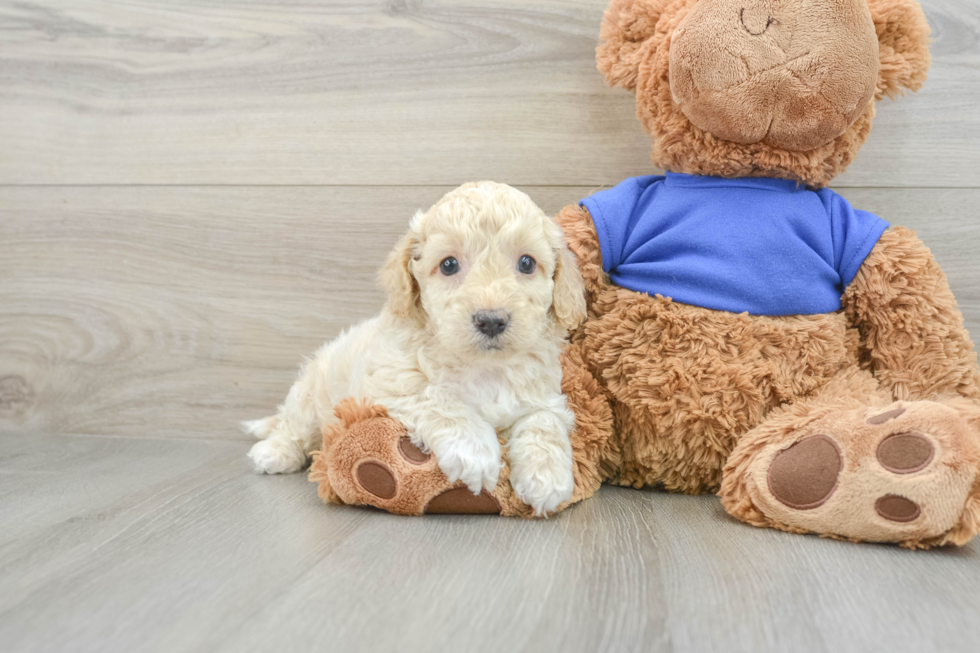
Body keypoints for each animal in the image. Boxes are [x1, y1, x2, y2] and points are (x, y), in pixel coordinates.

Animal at [245, 181, 584, 512]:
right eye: (449, 265)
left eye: (527, 263)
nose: (491, 320)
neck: (482, 366)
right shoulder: (390, 383)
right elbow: (438, 399)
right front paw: (475, 452)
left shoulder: (544, 395)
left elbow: (545, 422)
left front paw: (547, 478)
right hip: (309, 396)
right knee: (293, 428)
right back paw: (273, 452)